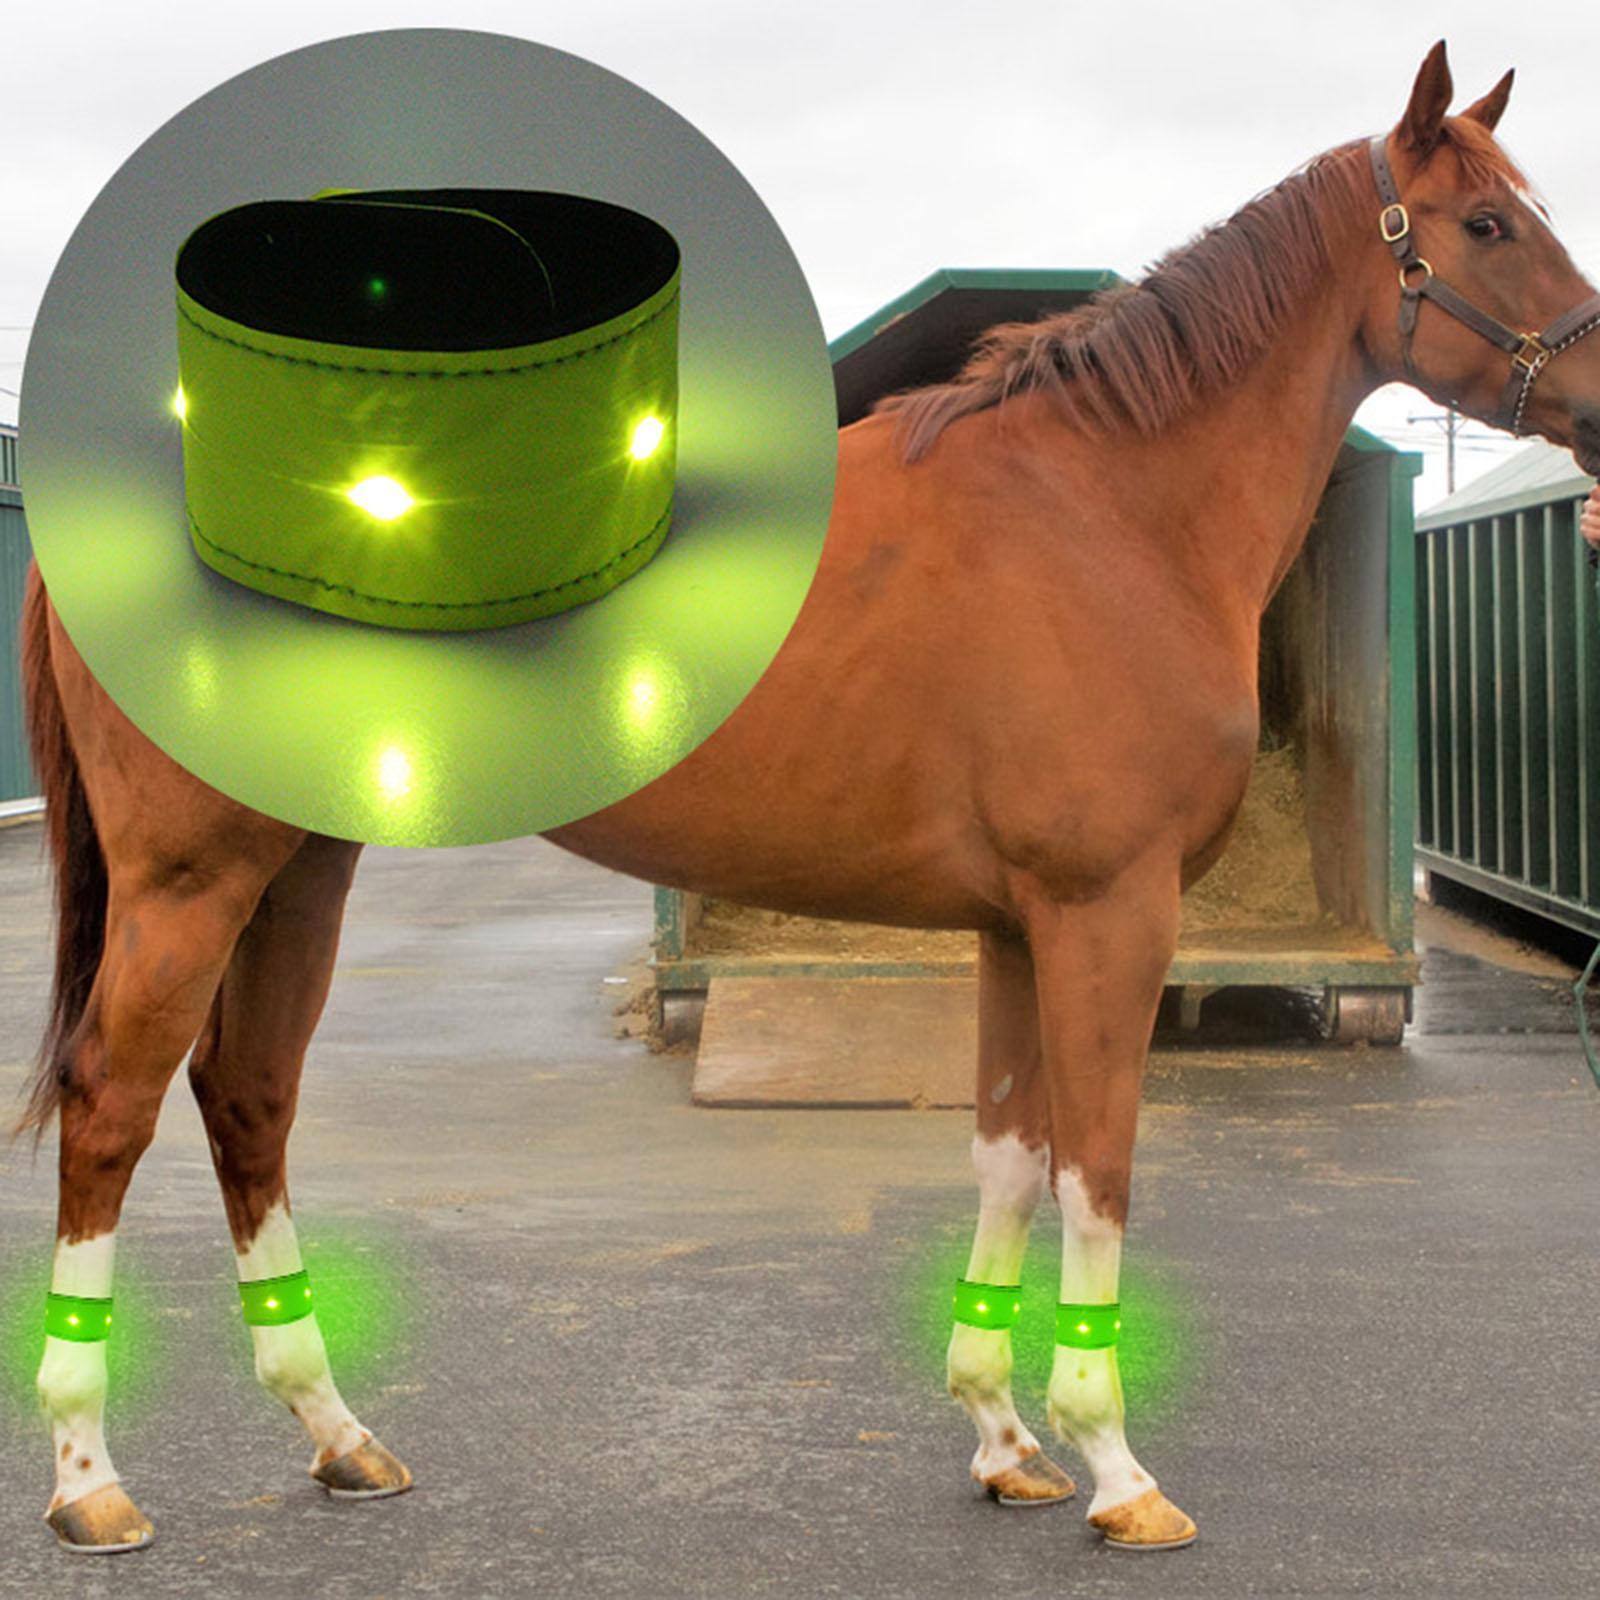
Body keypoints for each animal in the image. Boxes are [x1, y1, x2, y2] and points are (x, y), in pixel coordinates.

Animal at [12, 41, 1600, 1555]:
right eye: (1485, 222)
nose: (1596, 402)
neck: (1102, 507)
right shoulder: (1107, 913)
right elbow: (1097, 1168)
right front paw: (1116, 1470)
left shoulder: (1018, 928)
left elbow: (1010, 1154)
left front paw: (1004, 1443)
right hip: (191, 881)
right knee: (113, 1104)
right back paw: (91, 1483)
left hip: (302, 870)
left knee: (248, 1096)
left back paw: (338, 1435)